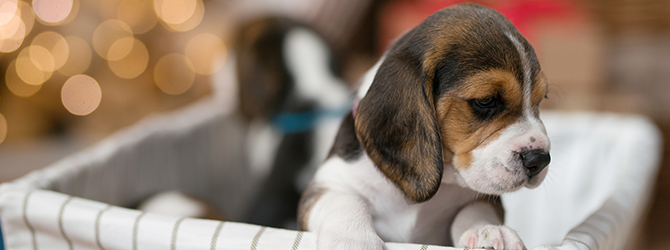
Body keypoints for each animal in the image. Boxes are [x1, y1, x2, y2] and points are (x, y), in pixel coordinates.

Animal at [302, 3, 552, 250]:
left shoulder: (482, 200)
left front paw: (488, 231)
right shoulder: (326, 185)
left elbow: (474, 209)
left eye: (541, 99)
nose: (539, 159)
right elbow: (345, 200)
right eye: (486, 101)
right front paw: (353, 240)